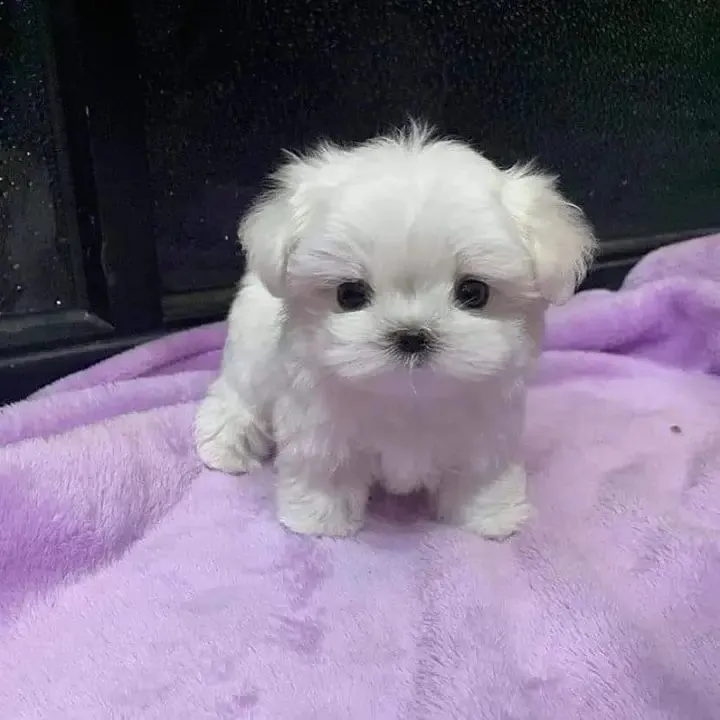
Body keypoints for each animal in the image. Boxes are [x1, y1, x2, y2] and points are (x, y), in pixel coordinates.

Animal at [195, 124, 596, 538]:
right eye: (349, 294)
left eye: (474, 292)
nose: (412, 335)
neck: (409, 398)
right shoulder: (320, 429)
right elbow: (326, 470)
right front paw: (320, 521)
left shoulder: (488, 432)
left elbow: (481, 475)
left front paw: (488, 516)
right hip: (250, 358)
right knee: (236, 397)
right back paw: (225, 445)